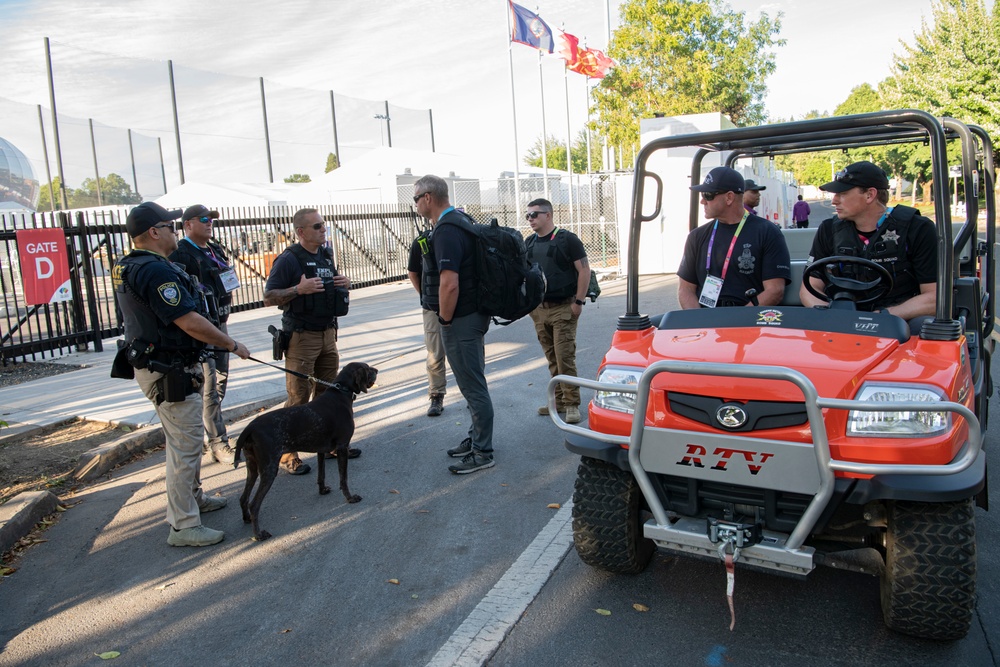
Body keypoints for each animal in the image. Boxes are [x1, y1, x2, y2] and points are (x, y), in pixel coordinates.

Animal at [234, 362, 378, 540]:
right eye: (368, 368)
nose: (377, 370)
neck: (340, 392)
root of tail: (250, 427)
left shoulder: (321, 450)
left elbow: (321, 475)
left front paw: (322, 490)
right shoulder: (342, 447)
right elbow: (343, 479)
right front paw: (350, 498)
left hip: (252, 466)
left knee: (243, 498)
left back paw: (246, 518)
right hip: (269, 469)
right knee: (254, 504)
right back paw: (259, 534)